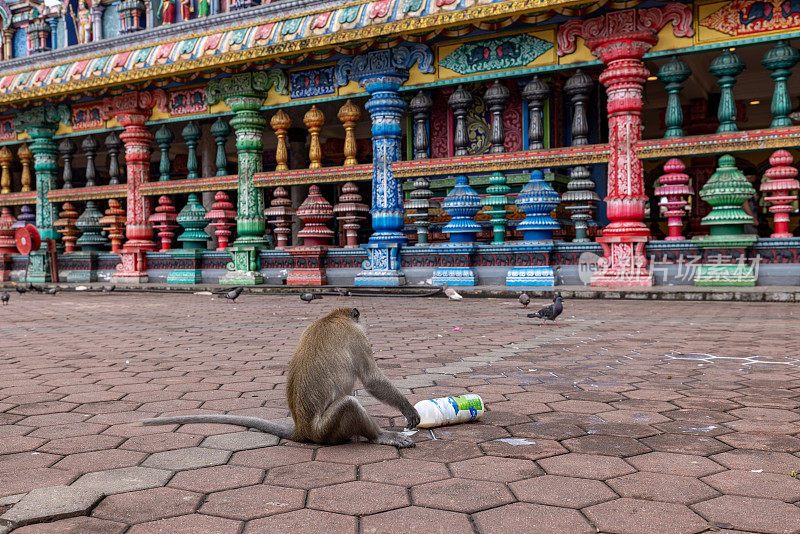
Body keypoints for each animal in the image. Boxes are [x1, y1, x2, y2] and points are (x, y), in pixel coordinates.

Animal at [142, 308, 418, 450]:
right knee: (350, 404)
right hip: (327, 430)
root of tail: (302, 430)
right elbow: (371, 379)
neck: (333, 316)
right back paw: (381, 436)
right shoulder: (357, 336)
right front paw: (409, 410)